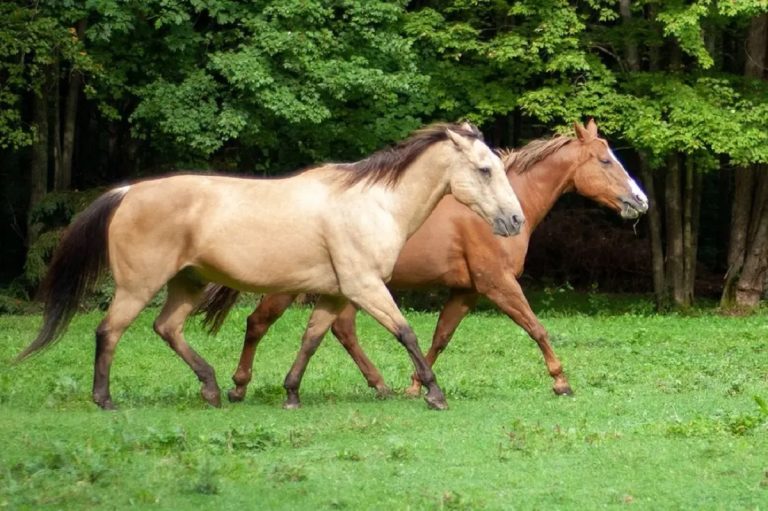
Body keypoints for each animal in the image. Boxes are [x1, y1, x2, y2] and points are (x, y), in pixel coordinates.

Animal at [16, 122, 525, 411]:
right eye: (484, 170)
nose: (515, 220)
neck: (373, 203)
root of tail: (126, 193)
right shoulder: (365, 287)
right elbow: (406, 333)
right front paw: (434, 395)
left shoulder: (335, 293)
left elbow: (311, 340)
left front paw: (292, 394)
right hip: (138, 287)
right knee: (109, 332)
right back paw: (104, 400)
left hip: (186, 284)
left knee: (167, 328)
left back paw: (213, 390)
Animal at [199, 120, 649, 405]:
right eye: (605, 161)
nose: (640, 200)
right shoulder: (497, 283)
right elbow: (536, 328)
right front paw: (561, 382)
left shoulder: (466, 292)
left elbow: (439, 338)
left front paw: (416, 386)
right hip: (295, 287)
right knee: (259, 323)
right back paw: (238, 386)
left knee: (340, 330)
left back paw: (379, 385)